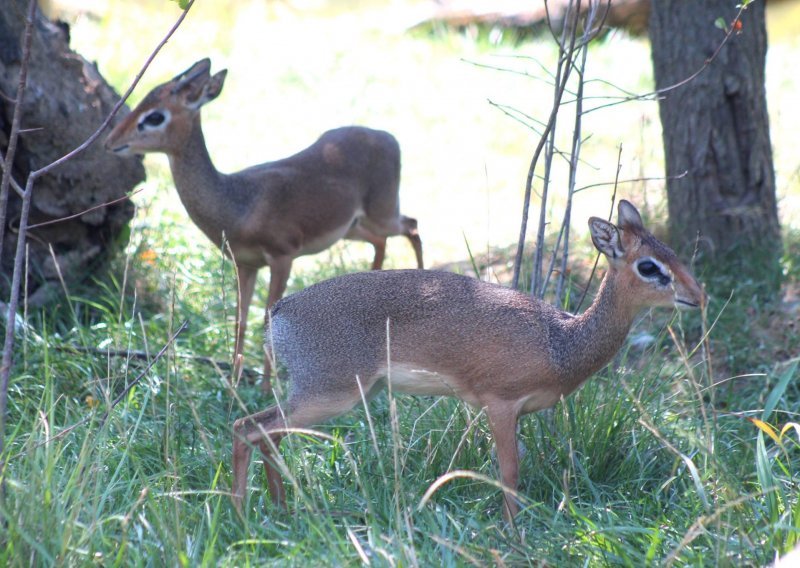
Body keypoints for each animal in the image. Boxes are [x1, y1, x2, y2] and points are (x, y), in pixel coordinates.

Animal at [104, 58, 424, 386]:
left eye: (155, 116)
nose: (110, 141)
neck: (238, 204)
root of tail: (387, 137)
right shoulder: (245, 264)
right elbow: (240, 320)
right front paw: (233, 381)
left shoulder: (283, 256)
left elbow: (268, 317)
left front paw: (267, 386)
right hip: (354, 227)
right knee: (384, 240)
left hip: (382, 212)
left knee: (412, 225)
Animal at [231, 200, 708, 520]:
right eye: (649, 266)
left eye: (671, 252)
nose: (698, 296)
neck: (560, 342)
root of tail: (279, 313)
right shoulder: (500, 404)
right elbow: (509, 472)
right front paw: (512, 535)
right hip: (331, 394)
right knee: (248, 426)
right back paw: (243, 518)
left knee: (265, 433)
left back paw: (281, 511)